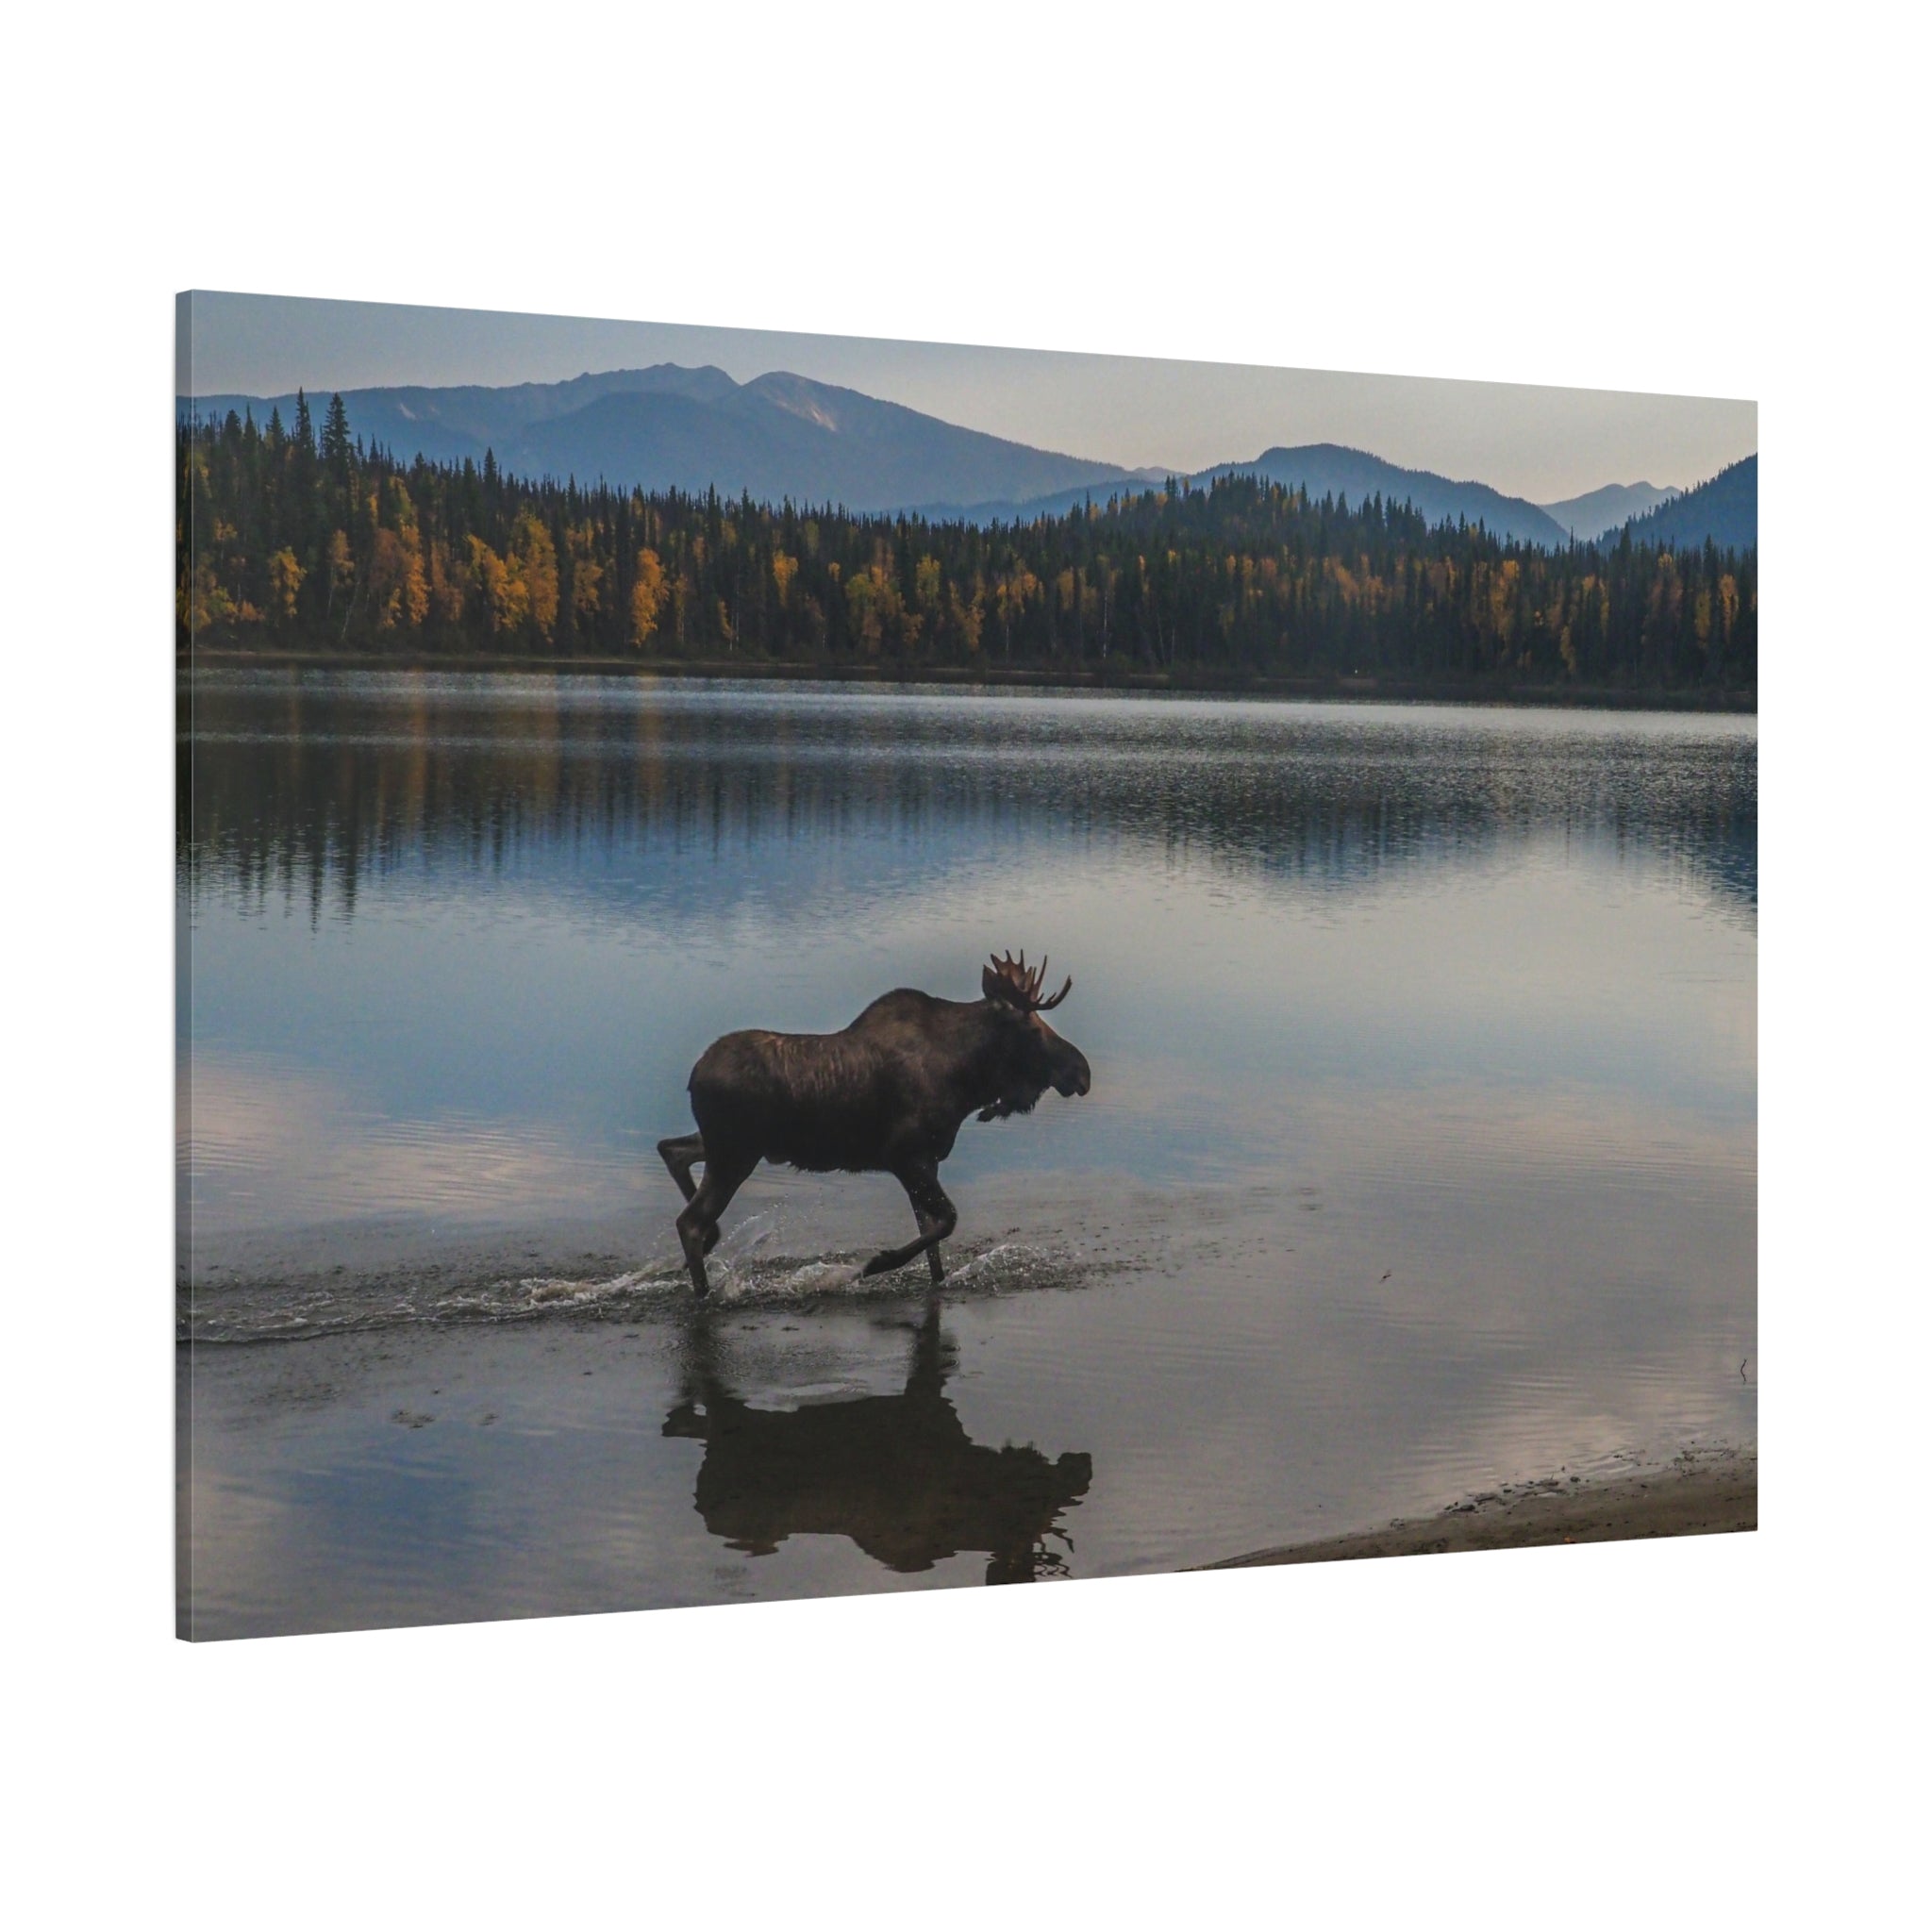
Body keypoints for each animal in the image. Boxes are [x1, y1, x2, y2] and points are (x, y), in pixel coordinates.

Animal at [657, 951, 1092, 1294]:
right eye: (1032, 1028)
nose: (1082, 1072)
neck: (967, 1080)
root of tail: (693, 1077)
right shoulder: (904, 1155)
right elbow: (946, 1221)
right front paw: (874, 1264)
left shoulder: (927, 1162)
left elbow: (933, 1242)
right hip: (735, 1153)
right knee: (689, 1221)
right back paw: (704, 1290)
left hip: (728, 1146)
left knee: (672, 1150)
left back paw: (711, 1242)